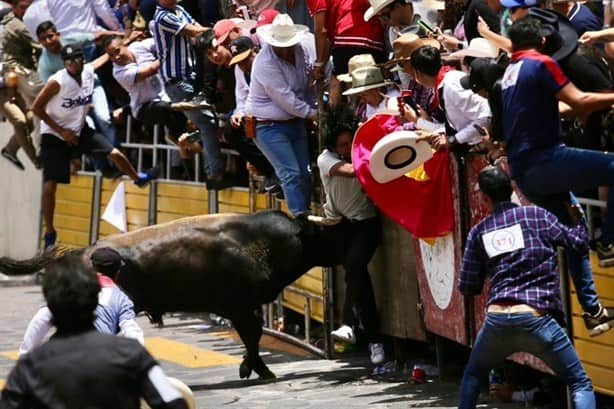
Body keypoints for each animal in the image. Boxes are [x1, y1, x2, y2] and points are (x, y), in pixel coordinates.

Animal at [0, 210, 342, 380]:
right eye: (323, 233)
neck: (257, 241)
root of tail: (80, 252)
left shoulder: (245, 307)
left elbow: (253, 337)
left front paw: (252, 368)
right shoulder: (240, 306)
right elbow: (253, 336)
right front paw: (259, 370)